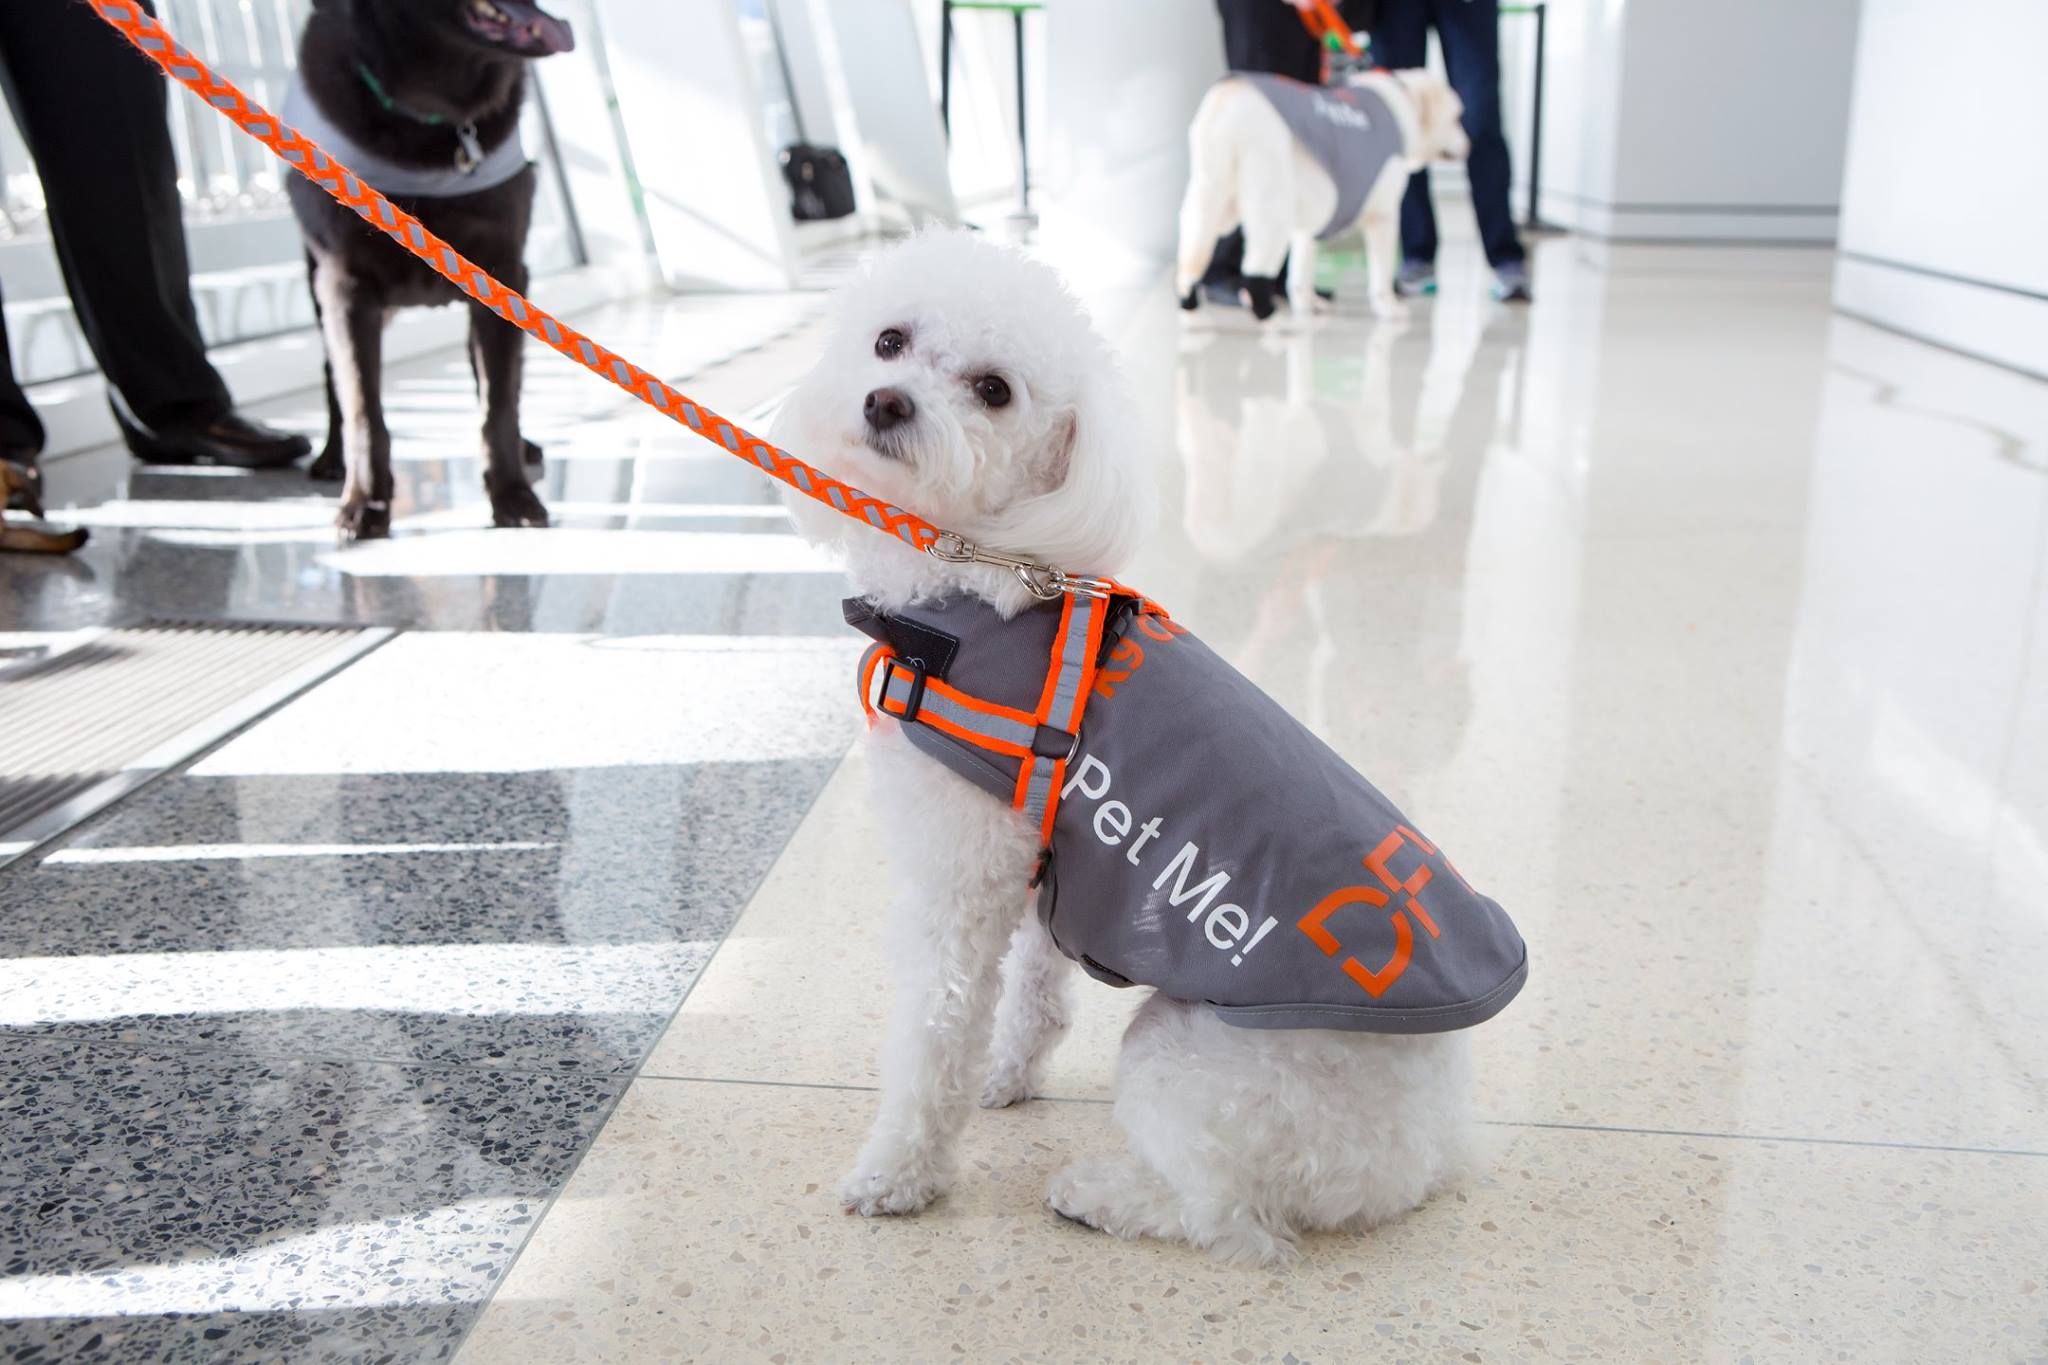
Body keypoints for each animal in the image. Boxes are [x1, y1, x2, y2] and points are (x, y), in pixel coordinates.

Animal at [286, 0, 569, 540]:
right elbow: (362, 409)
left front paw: (512, 495)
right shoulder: (344, 285)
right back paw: (331, 457)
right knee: (332, 375)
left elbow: (499, 404)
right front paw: (366, 502)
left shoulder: (501, 273)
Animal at [770, 235, 1474, 1268]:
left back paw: (1100, 1192)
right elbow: (1034, 992)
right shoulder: (1039, 859)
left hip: (1187, 1060)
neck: (983, 577)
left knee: (1232, 1217)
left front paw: (899, 1172)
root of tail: (1420, 1157)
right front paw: (1009, 1075)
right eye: (888, 339)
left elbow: (936, 1032)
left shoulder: (959, 882)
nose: (886, 401)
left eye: (993, 390)